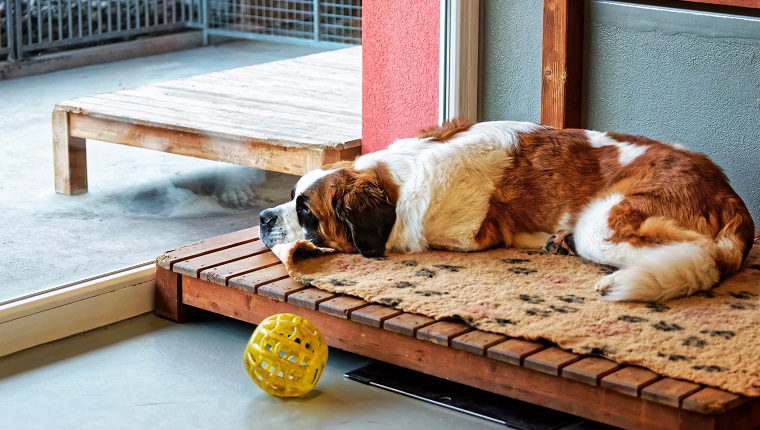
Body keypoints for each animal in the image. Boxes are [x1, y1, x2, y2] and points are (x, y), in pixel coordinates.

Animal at [260, 118, 756, 302]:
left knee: (701, 258)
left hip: (601, 222)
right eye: (290, 196)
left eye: (306, 213)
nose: (264, 219)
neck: (396, 184)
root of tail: (730, 195)